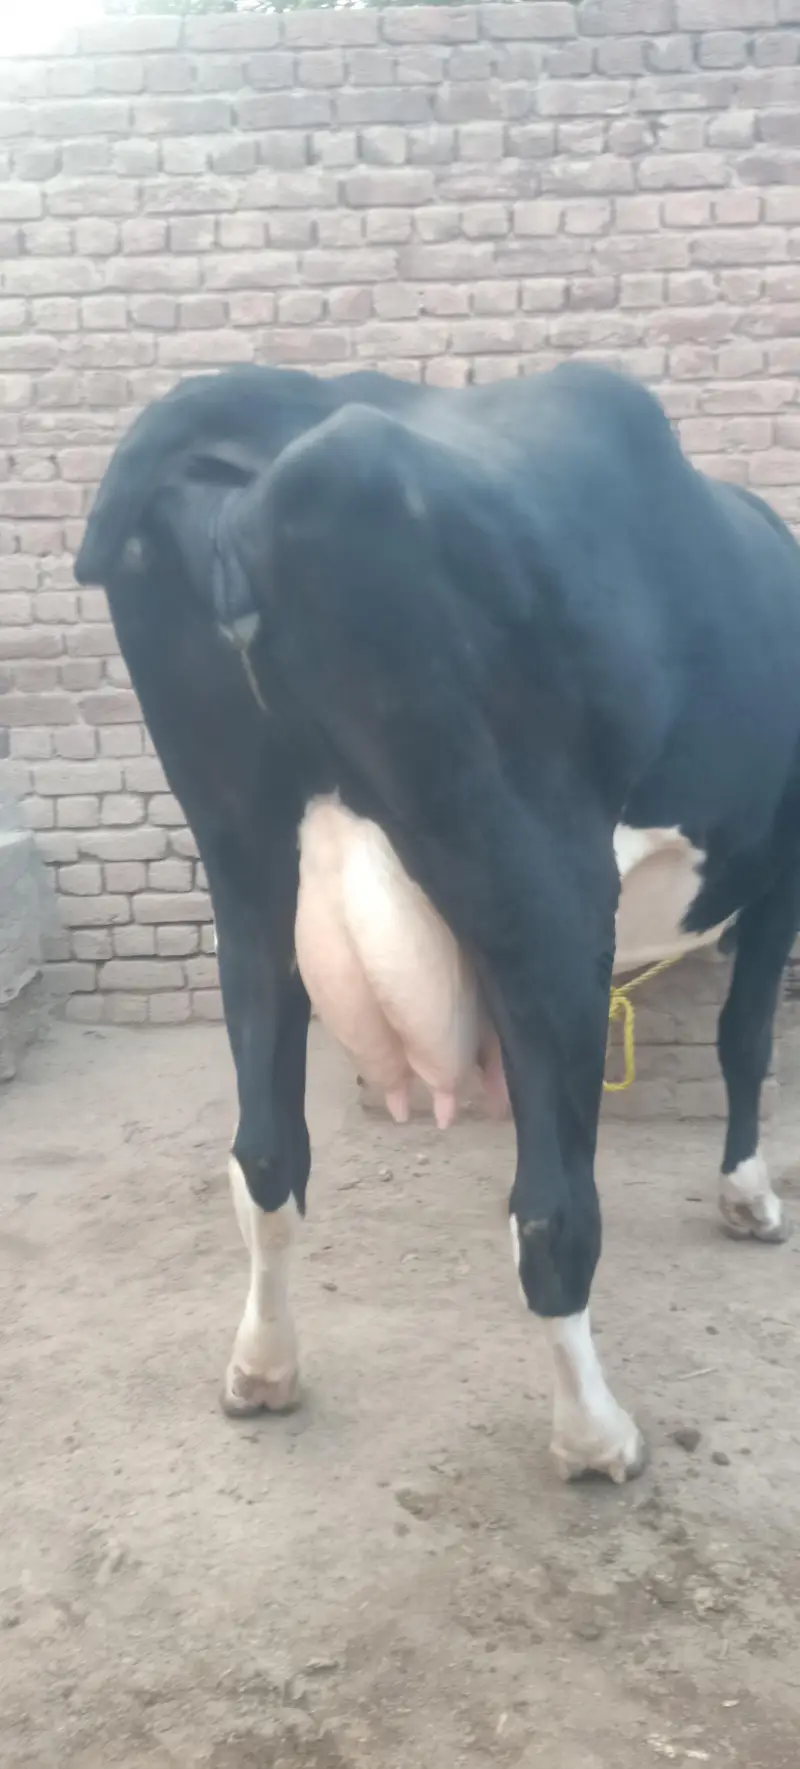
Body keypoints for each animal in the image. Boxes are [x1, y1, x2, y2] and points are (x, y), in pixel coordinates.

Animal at [74, 359, 800, 1484]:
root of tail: (274, 403)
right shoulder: (780, 867)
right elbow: (743, 1039)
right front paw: (747, 1197)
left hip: (244, 873)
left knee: (266, 1156)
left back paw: (263, 1369)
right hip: (543, 889)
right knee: (551, 1212)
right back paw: (595, 1435)